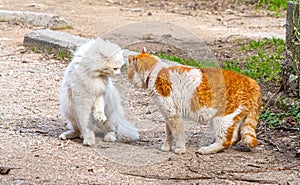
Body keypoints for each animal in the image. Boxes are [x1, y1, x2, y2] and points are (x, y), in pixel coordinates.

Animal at [127, 48, 262, 155]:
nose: (127, 77)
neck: (154, 71)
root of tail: (253, 83)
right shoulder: (168, 114)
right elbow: (169, 132)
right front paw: (166, 147)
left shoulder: (171, 113)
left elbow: (177, 133)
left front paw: (180, 149)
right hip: (233, 118)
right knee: (235, 137)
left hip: (222, 118)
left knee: (226, 140)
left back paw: (206, 149)